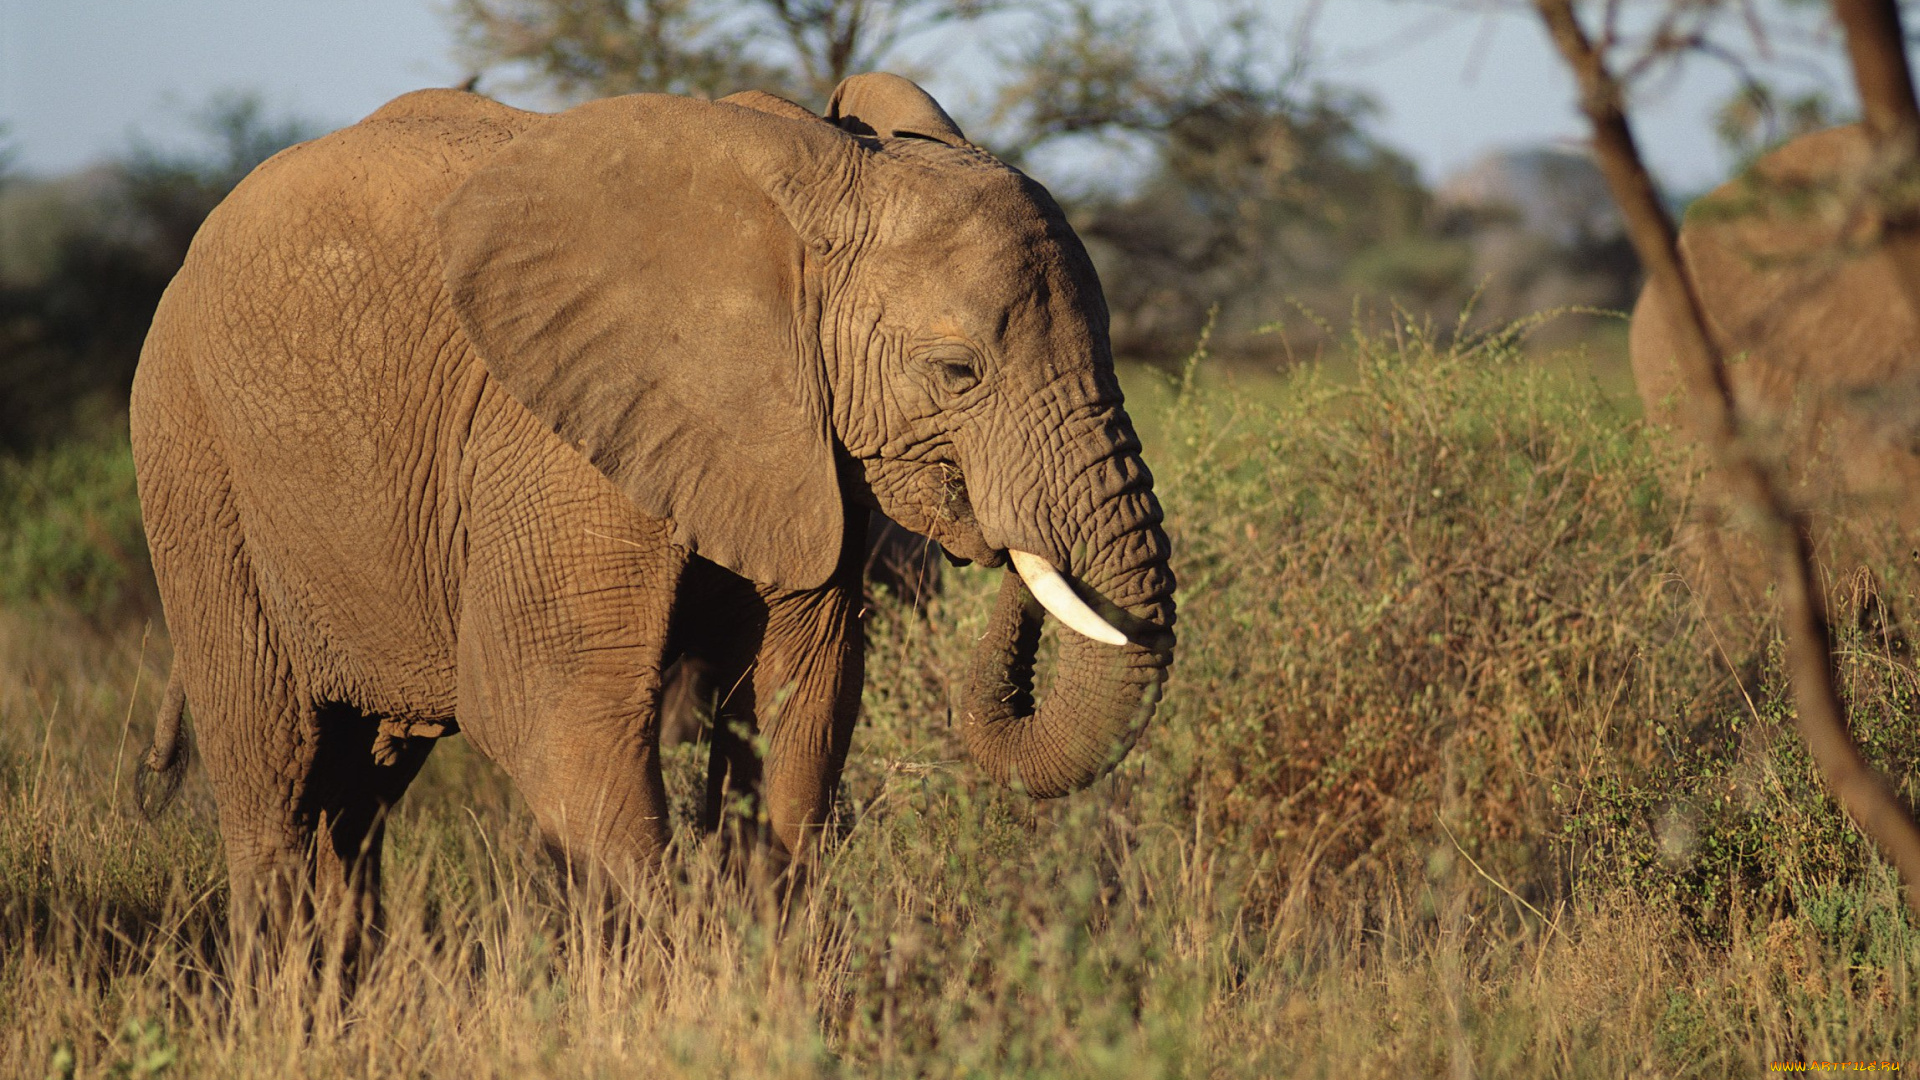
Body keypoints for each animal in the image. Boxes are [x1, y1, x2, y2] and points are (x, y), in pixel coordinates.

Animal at [131, 71, 1167, 953]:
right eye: (958, 371)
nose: (1003, 542)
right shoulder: (554, 443)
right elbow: (554, 713)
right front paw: (682, 978)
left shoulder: (804, 450)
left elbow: (802, 700)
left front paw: (765, 966)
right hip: (193, 462)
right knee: (274, 773)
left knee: (359, 795)